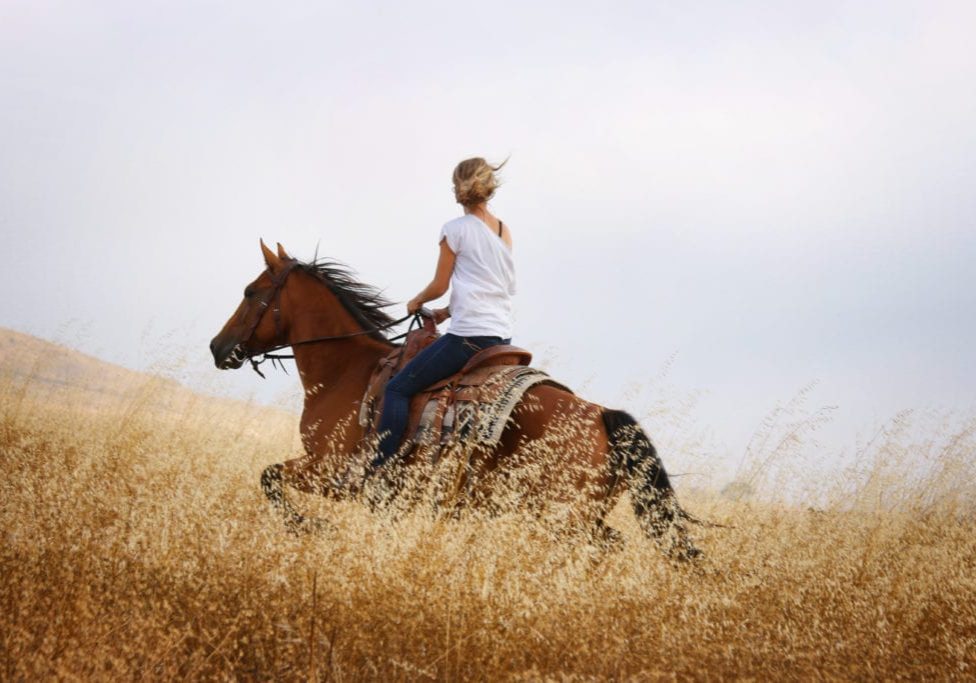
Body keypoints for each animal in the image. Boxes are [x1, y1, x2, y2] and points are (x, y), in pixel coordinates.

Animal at [212, 243, 700, 560]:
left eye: (250, 292)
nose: (219, 348)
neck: (348, 371)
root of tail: (602, 417)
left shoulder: (331, 474)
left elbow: (270, 478)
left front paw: (314, 527)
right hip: (577, 518)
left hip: (562, 519)